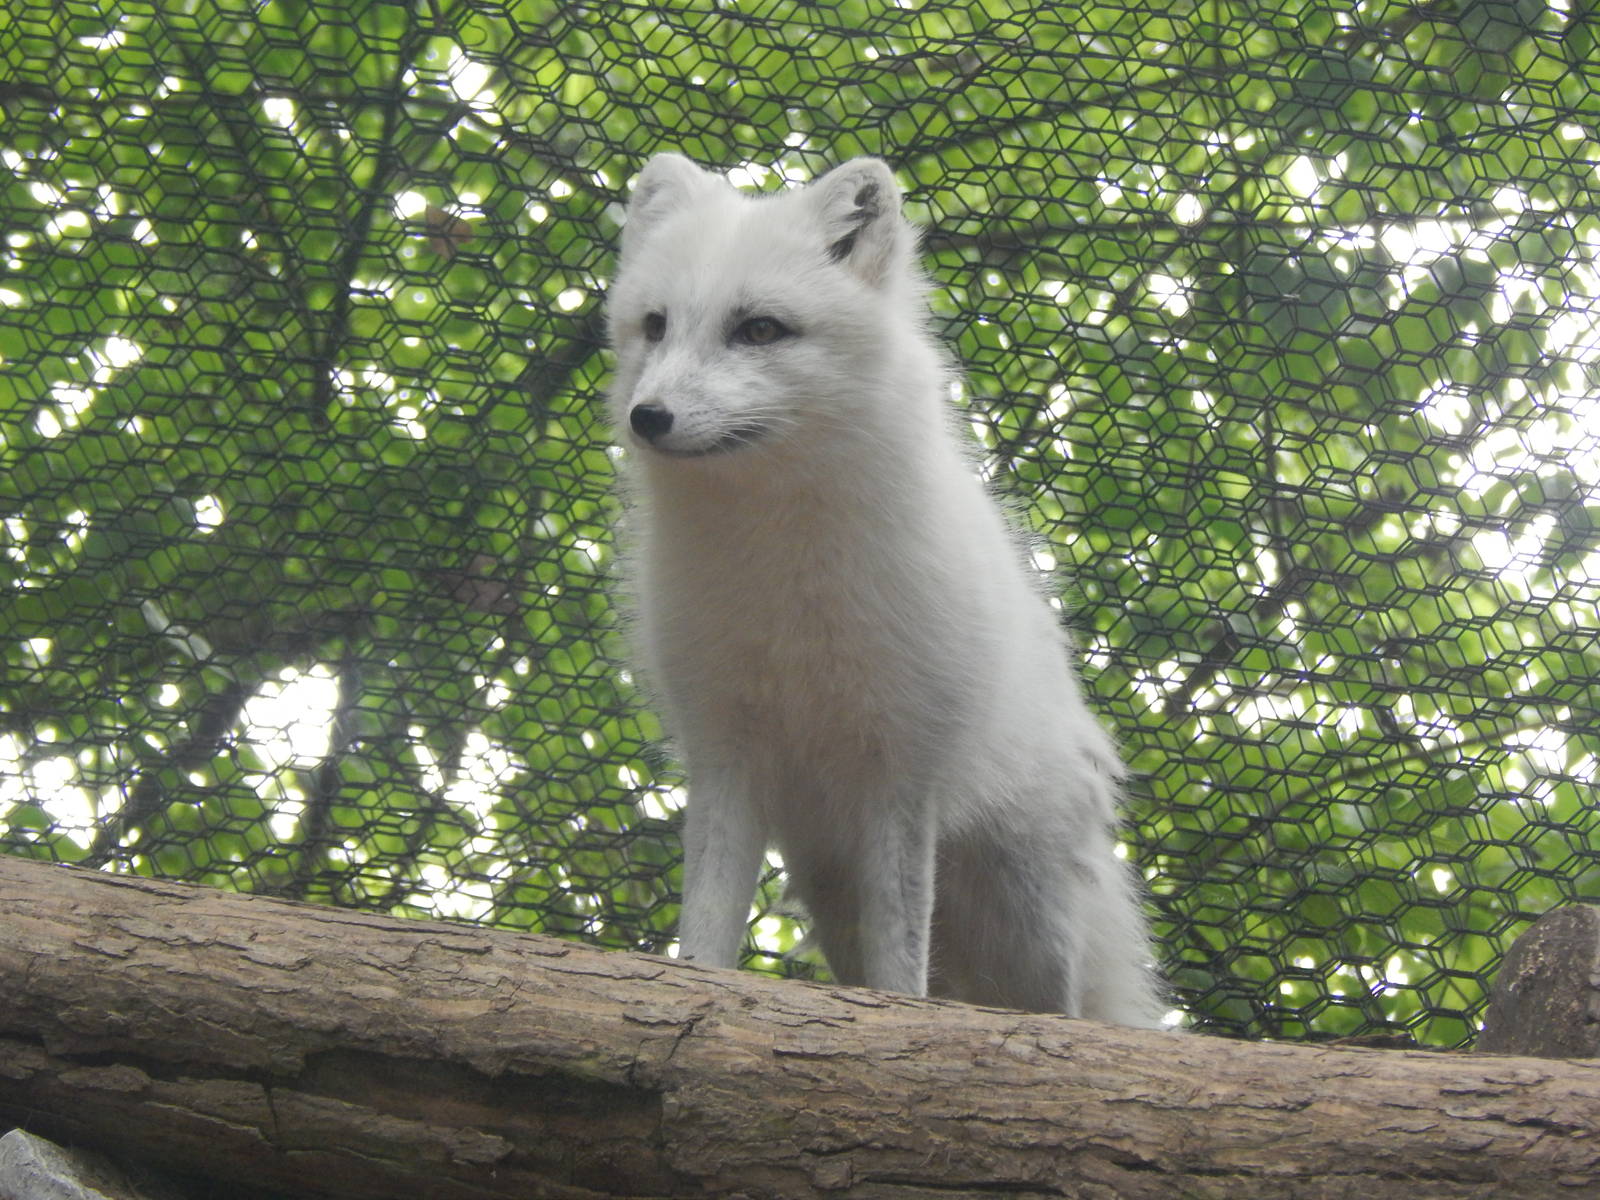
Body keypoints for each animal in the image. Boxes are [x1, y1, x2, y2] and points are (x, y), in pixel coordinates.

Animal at [606, 153, 1164, 1027]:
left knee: (1055, 1009)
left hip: (1025, 911)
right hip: (830, 886)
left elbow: (900, 964)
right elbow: (709, 916)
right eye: (656, 325)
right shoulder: (727, 750)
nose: (647, 417)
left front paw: (899, 1017)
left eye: (758, 330)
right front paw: (694, 983)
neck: (783, 573)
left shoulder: (901, 772)